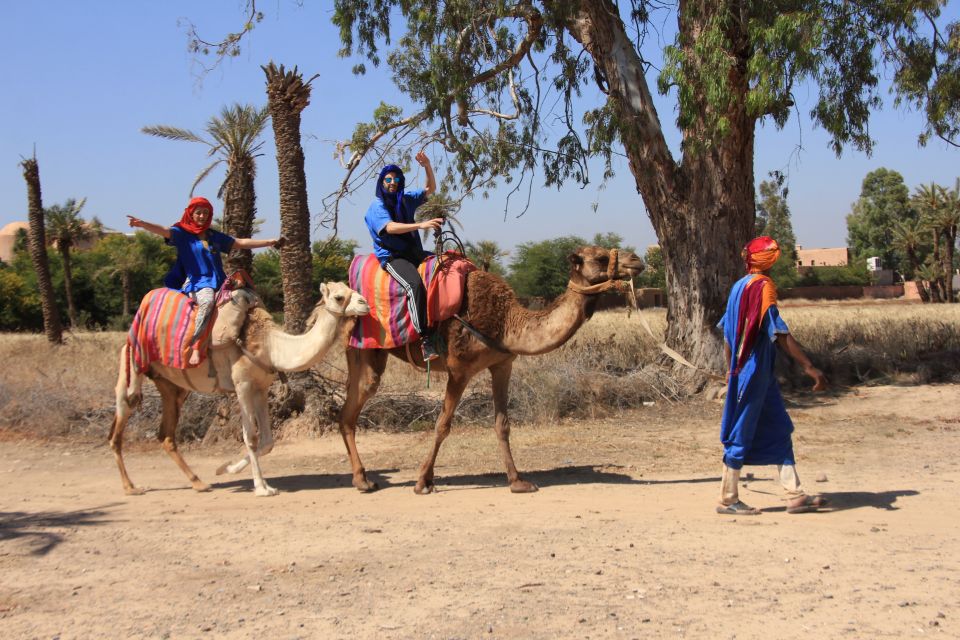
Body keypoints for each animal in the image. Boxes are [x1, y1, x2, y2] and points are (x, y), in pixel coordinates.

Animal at [109, 282, 368, 498]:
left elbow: (267, 441)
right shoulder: (242, 384)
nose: (364, 303)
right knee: (119, 423)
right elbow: (250, 437)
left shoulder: (261, 387)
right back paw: (131, 487)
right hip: (132, 366)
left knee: (166, 434)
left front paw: (226, 468)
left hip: (172, 386)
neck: (270, 346)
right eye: (339, 296)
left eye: (350, 288)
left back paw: (198, 483)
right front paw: (262, 488)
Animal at [338, 246, 644, 496]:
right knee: (356, 403)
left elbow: (502, 425)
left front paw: (518, 482)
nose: (637, 260)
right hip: (363, 348)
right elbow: (442, 425)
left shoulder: (502, 364)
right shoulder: (459, 369)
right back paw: (362, 481)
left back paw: (362, 478)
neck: (506, 322)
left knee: (348, 408)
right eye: (601, 258)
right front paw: (423, 481)